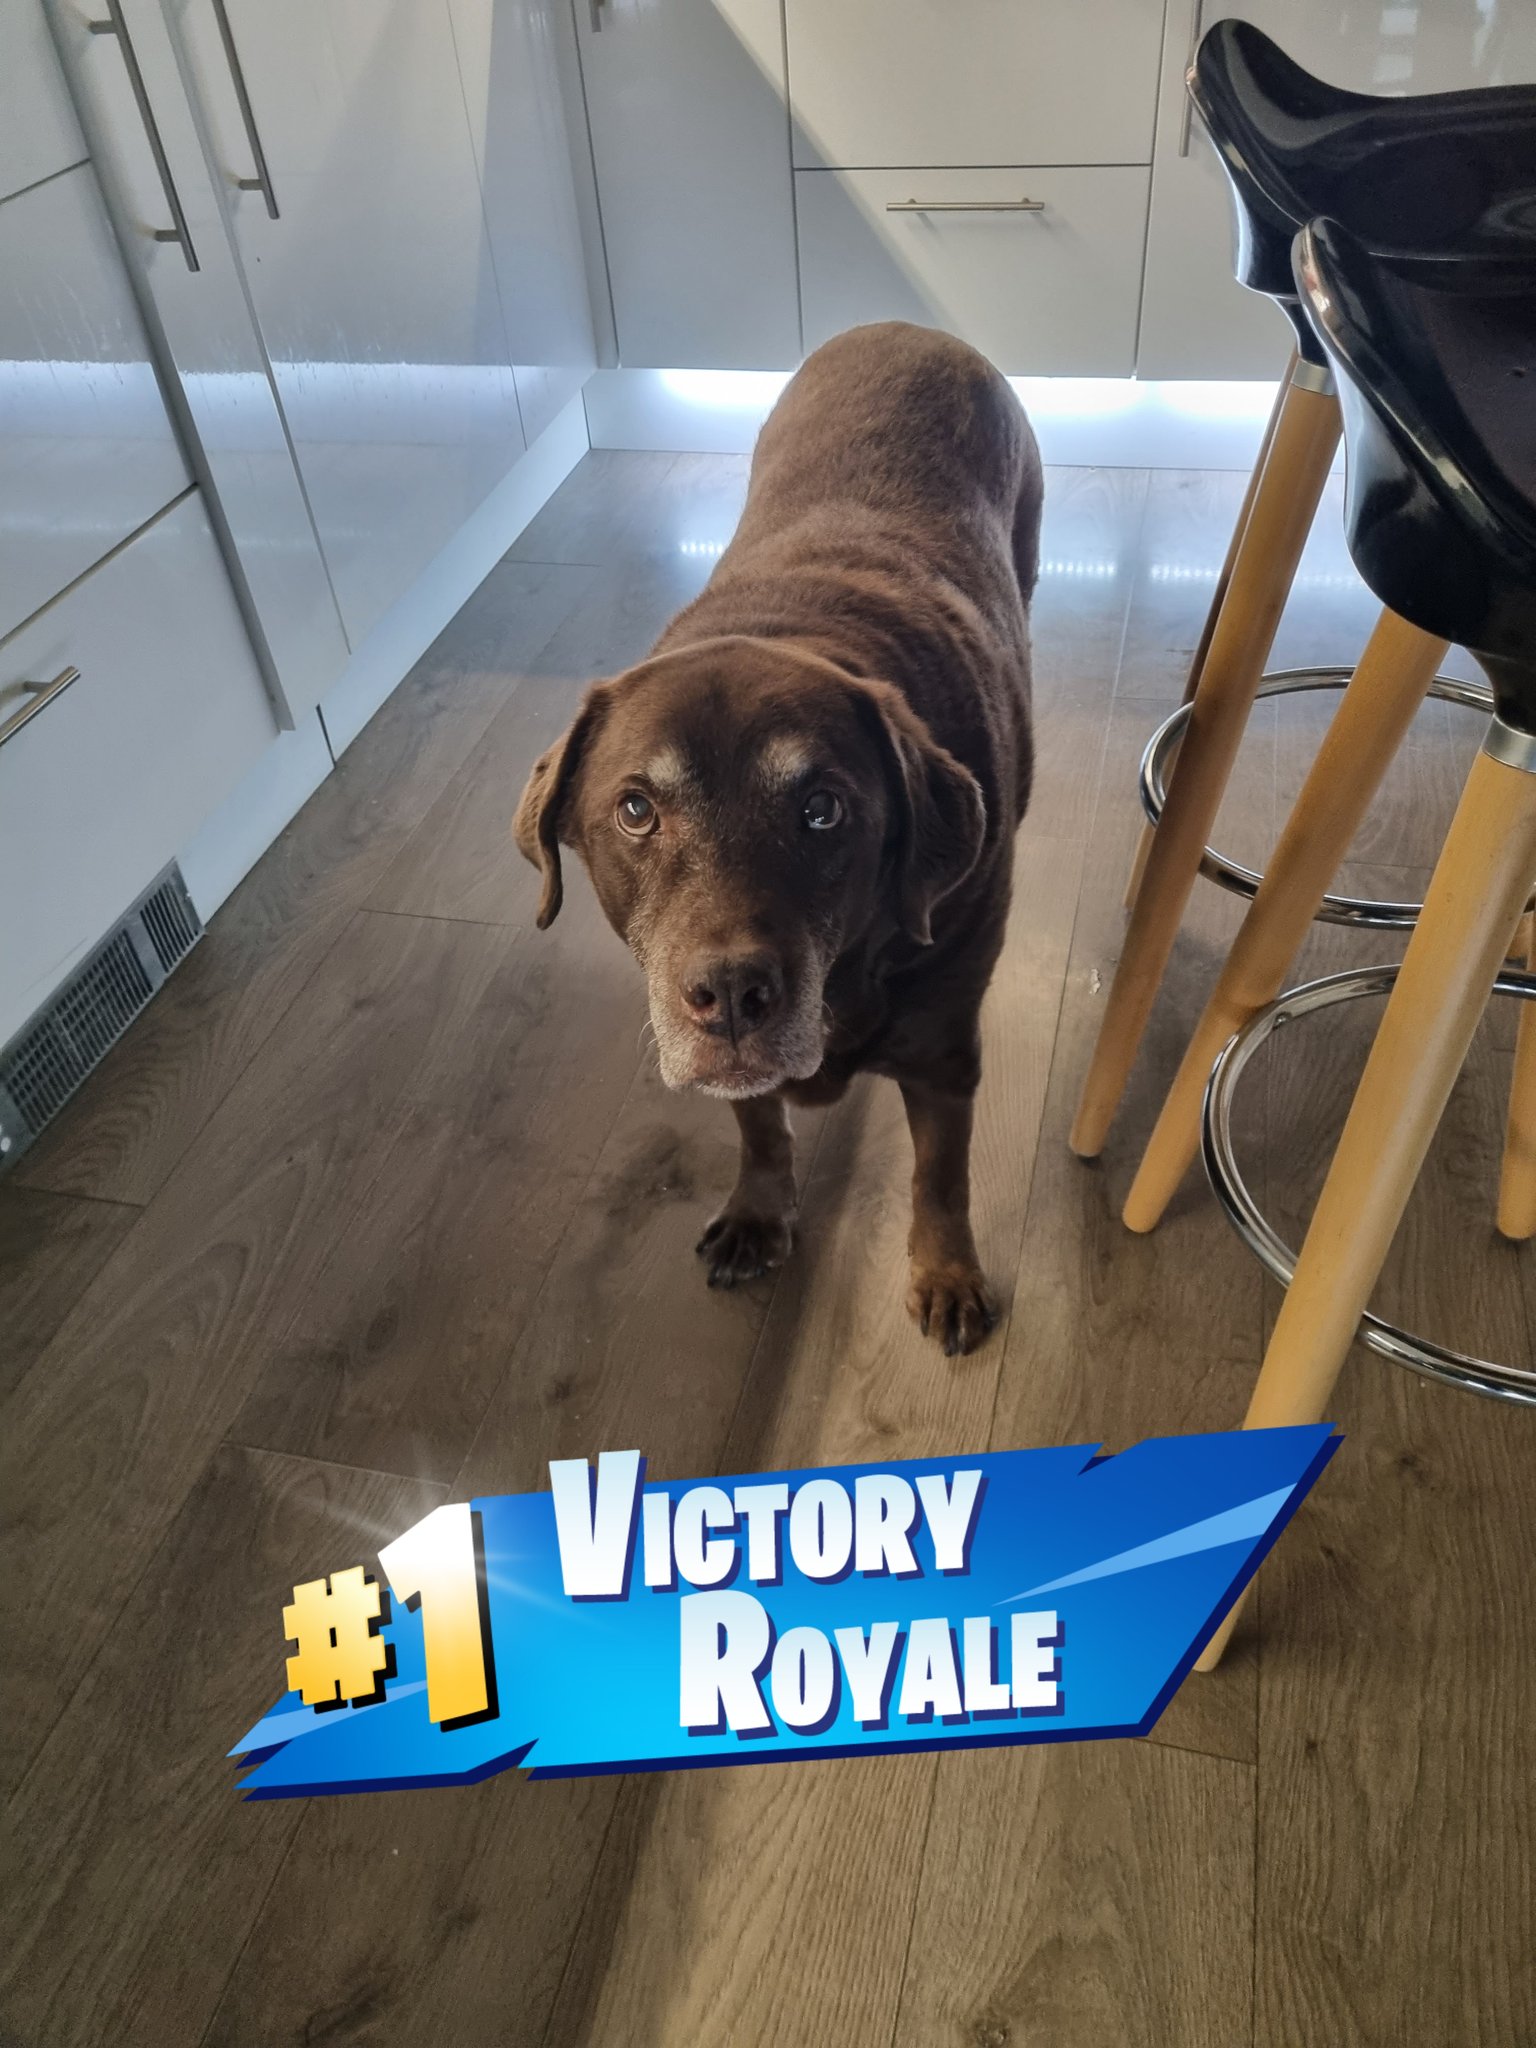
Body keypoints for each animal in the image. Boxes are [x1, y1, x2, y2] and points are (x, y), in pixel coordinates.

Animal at [514, 322, 1041, 1354]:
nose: (728, 994)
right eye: (635, 810)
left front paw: (948, 1274)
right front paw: (760, 1212)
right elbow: (758, 1123)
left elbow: (941, 1174)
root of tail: (909, 327)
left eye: (823, 809)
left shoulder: (944, 1043)